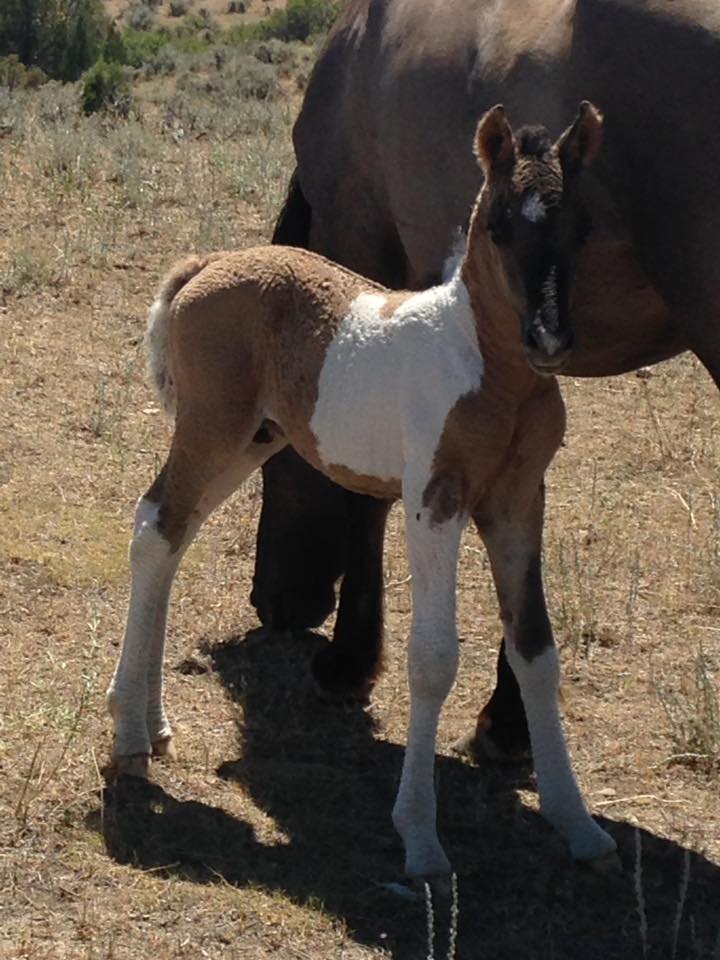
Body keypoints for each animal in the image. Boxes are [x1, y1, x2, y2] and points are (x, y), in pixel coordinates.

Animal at [109, 103, 616, 876]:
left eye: (579, 227)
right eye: (500, 226)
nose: (550, 340)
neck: (485, 365)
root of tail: (208, 264)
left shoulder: (518, 502)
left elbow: (536, 649)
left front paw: (577, 822)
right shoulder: (435, 501)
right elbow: (432, 658)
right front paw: (421, 839)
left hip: (249, 442)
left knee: (171, 537)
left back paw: (150, 723)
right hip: (211, 432)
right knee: (154, 529)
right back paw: (130, 736)